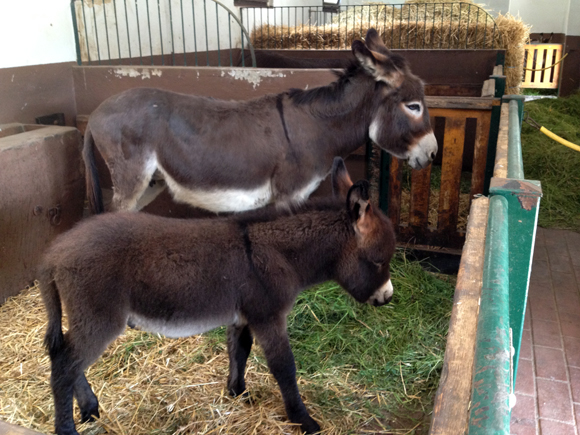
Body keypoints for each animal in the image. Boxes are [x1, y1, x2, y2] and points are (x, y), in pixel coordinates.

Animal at [39, 159, 394, 435]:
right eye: (378, 261)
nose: (388, 298)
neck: (276, 253)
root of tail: (54, 252)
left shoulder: (243, 316)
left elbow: (239, 351)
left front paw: (237, 393)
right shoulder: (268, 316)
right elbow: (284, 367)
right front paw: (304, 421)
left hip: (87, 318)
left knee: (68, 358)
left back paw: (89, 409)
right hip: (100, 319)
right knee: (64, 365)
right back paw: (67, 427)